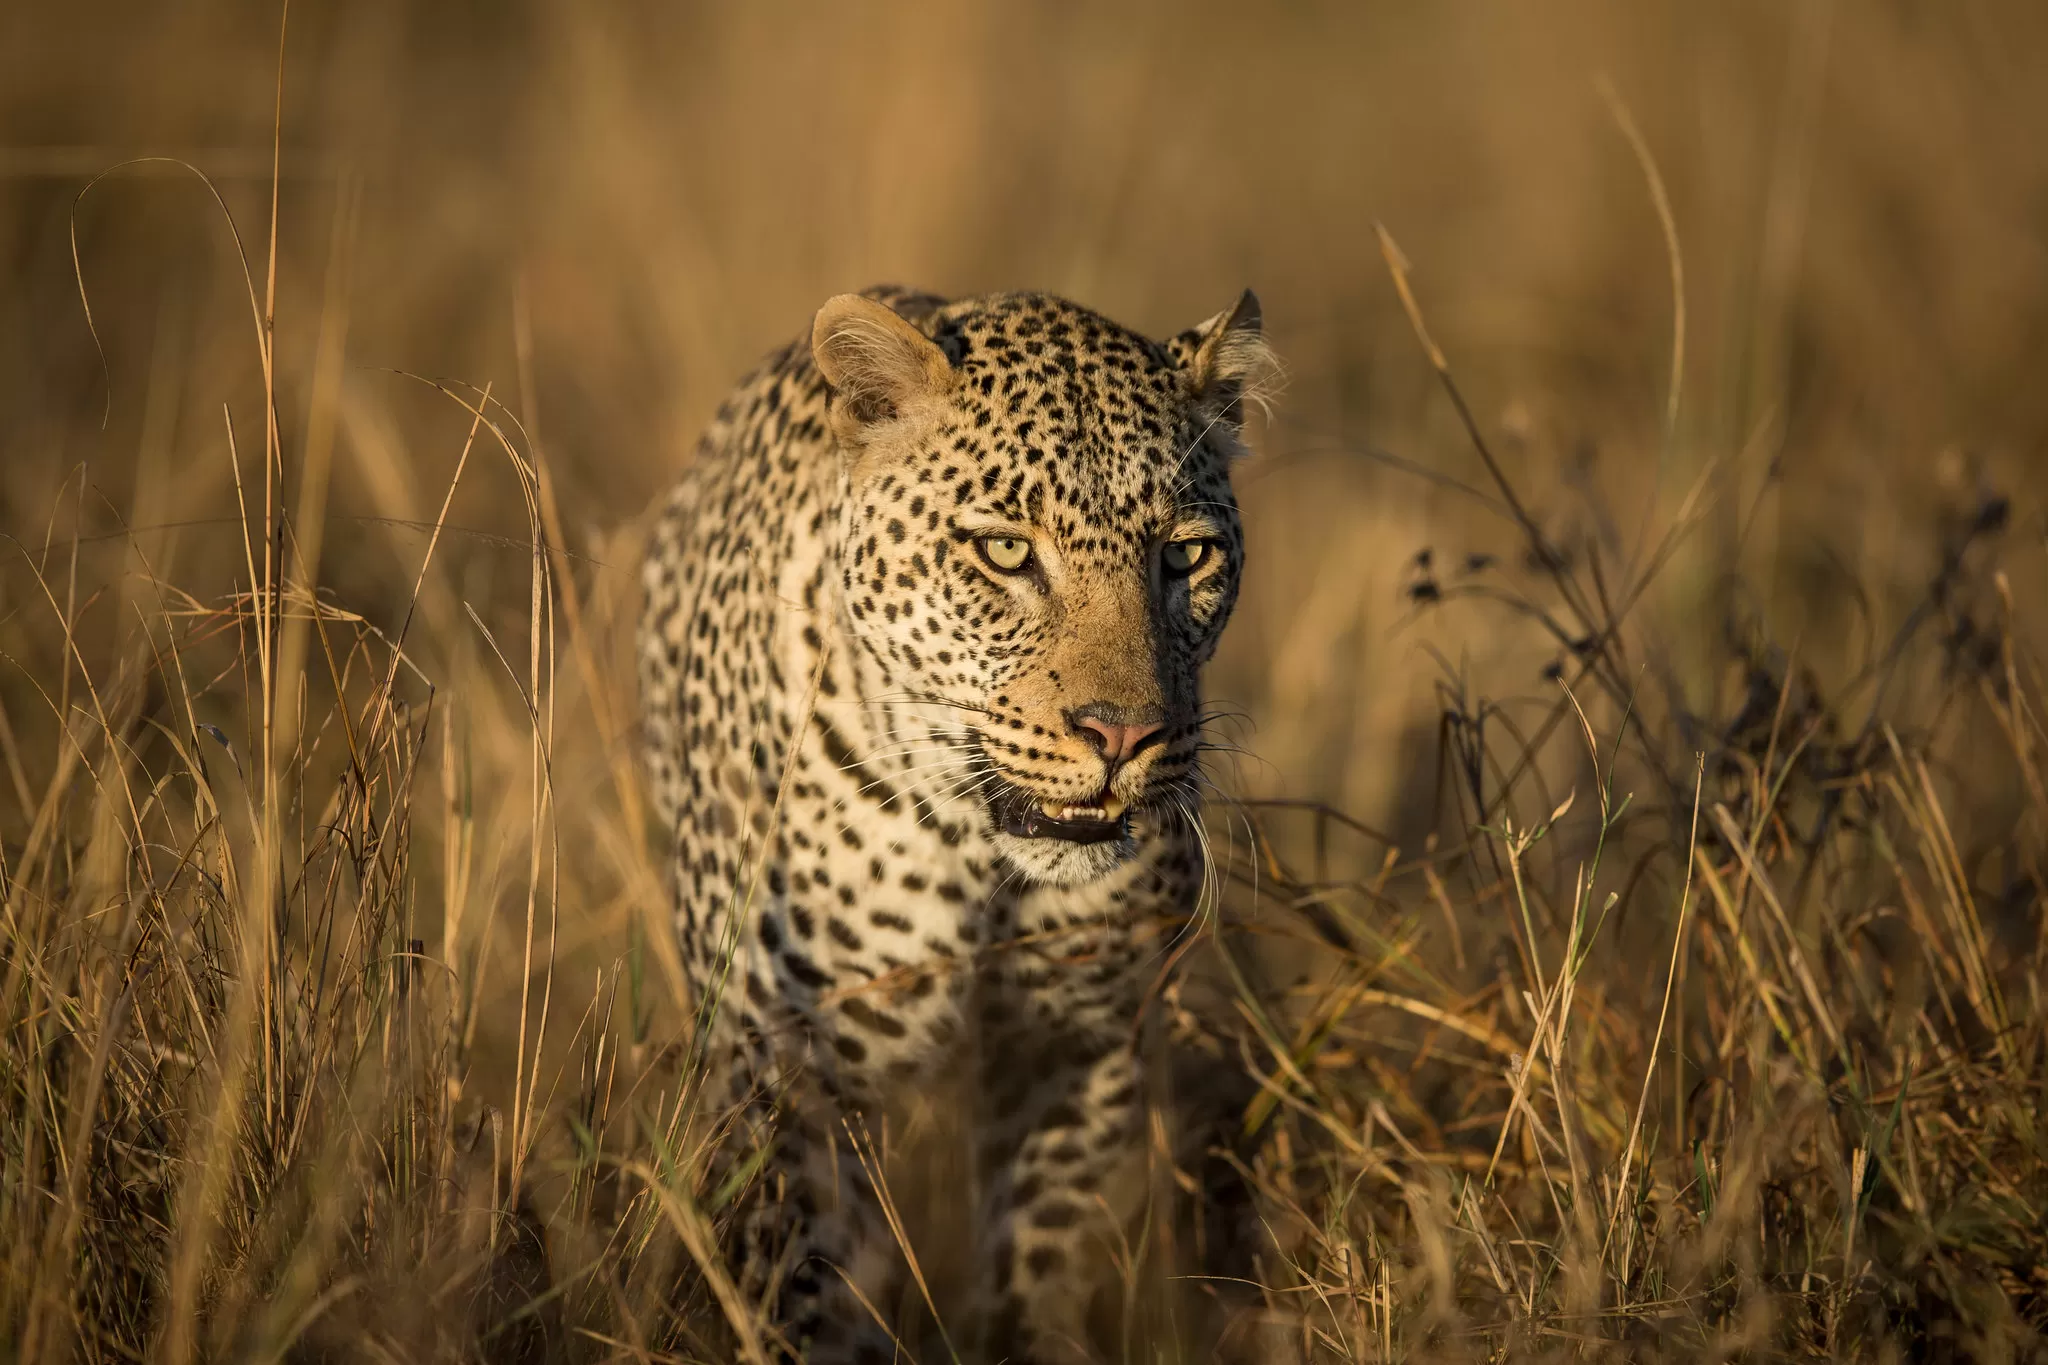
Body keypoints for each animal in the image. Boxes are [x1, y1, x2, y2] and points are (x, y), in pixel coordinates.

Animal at [638, 282, 1277, 1358]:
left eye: (1184, 555)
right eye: (1005, 551)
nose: (1122, 733)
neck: (982, 855)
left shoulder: (1077, 1048)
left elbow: (1040, 1258)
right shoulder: (789, 1070)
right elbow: (807, 1284)